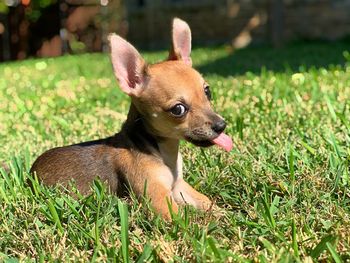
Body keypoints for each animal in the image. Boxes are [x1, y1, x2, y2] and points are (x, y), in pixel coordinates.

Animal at [30, 19, 232, 221]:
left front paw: (225, 214)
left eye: (208, 92)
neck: (163, 151)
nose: (221, 126)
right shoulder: (159, 199)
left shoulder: (179, 186)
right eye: (178, 110)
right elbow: (184, 220)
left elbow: (205, 201)